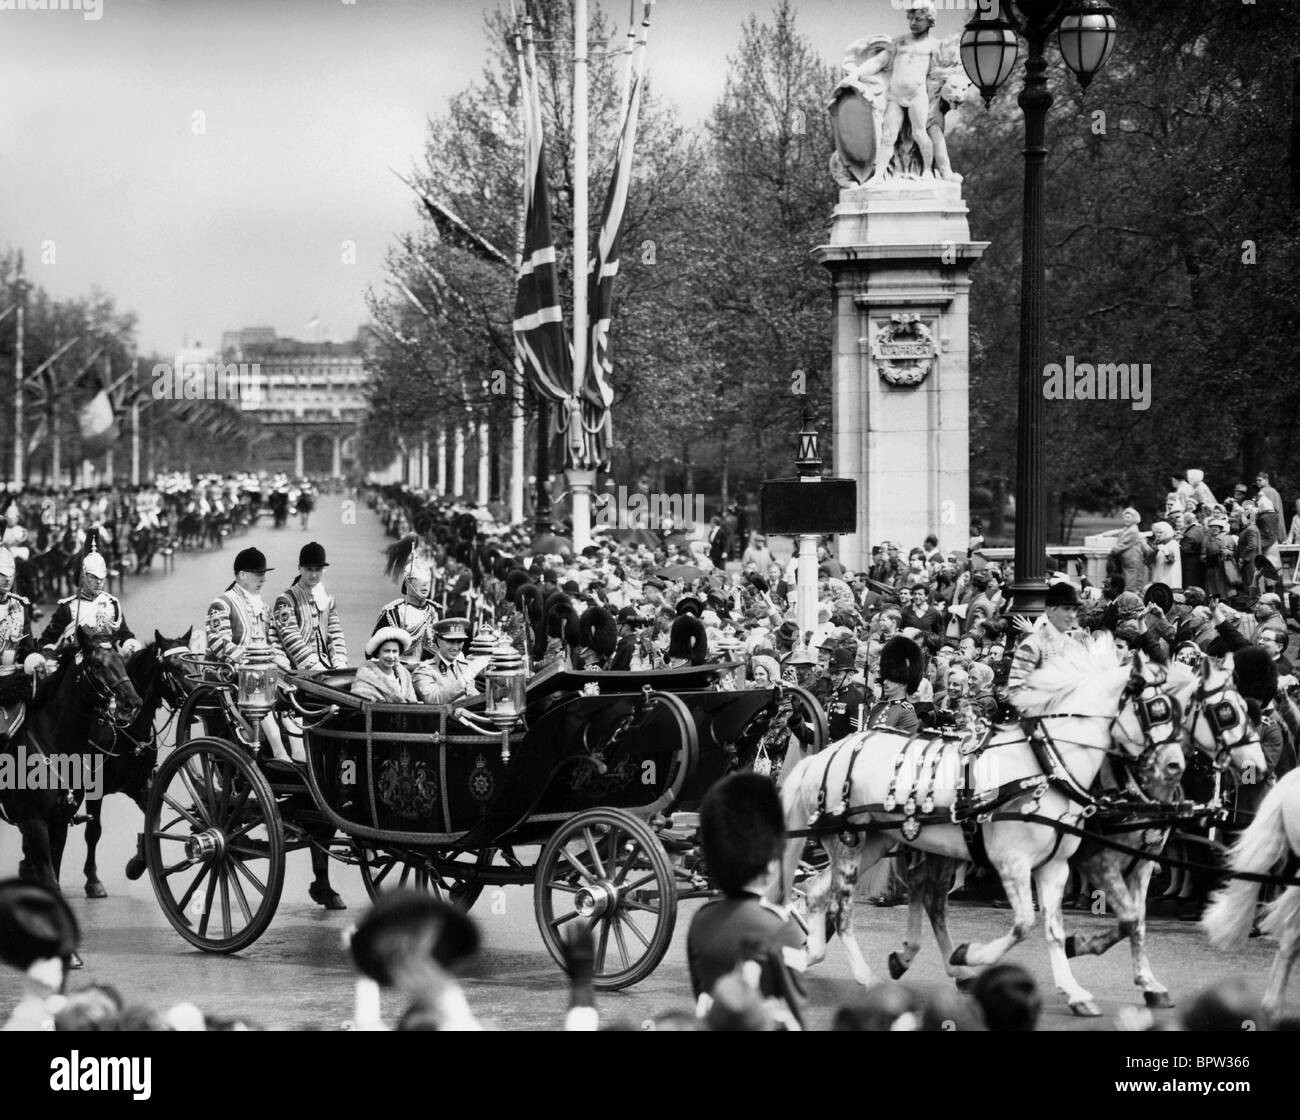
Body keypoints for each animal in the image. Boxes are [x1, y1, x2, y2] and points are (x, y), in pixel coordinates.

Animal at [0, 631, 142, 914]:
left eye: (121, 660)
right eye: (96, 663)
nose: (132, 703)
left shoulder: (59, 821)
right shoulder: (34, 822)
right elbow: (49, 881)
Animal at [78, 631, 189, 904]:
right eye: (173, 667)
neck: (126, 731)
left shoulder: (142, 784)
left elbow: (153, 821)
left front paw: (137, 863)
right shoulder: (94, 788)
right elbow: (93, 831)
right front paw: (93, 880)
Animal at [780, 639, 1258, 1018]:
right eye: (1224, 711)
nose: (1257, 766)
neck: (1051, 765)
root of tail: (830, 752)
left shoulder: (1082, 865)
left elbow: (1092, 924)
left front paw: (1093, 986)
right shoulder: (1036, 861)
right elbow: (1032, 923)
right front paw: (976, 953)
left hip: (885, 842)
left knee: (855, 894)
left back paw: (820, 955)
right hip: (853, 843)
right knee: (841, 906)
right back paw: (867, 972)